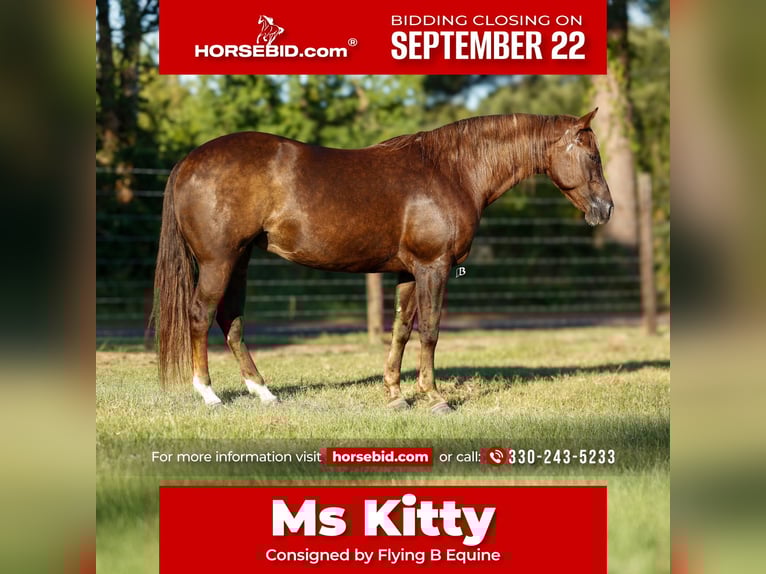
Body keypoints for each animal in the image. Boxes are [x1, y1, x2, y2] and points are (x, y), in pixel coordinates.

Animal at [152, 110, 613, 414]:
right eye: (593, 156)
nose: (606, 209)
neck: (451, 170)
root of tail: (189, 160)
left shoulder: (408, 271)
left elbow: (400, 332)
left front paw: (395, 394)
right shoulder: (433, 267)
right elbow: (430, 331)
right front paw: (434, 397)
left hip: (240, 260)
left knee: (230, 320)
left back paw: (263, 392)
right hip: (219, 261)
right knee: (200, 314)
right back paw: (209, 394)